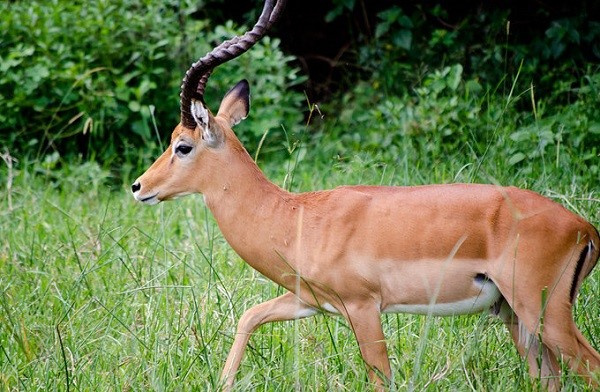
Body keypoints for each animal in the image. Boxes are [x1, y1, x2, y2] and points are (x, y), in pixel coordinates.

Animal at [132, 0, 600, 388]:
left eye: (182, 145)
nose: (139, 187)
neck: (296, 216)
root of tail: (584, 227)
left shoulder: (364, 308)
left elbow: (381, 379)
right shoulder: (310, 300)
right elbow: (250, 315)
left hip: (544, 313)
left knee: (590, 367)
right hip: (515, 316)